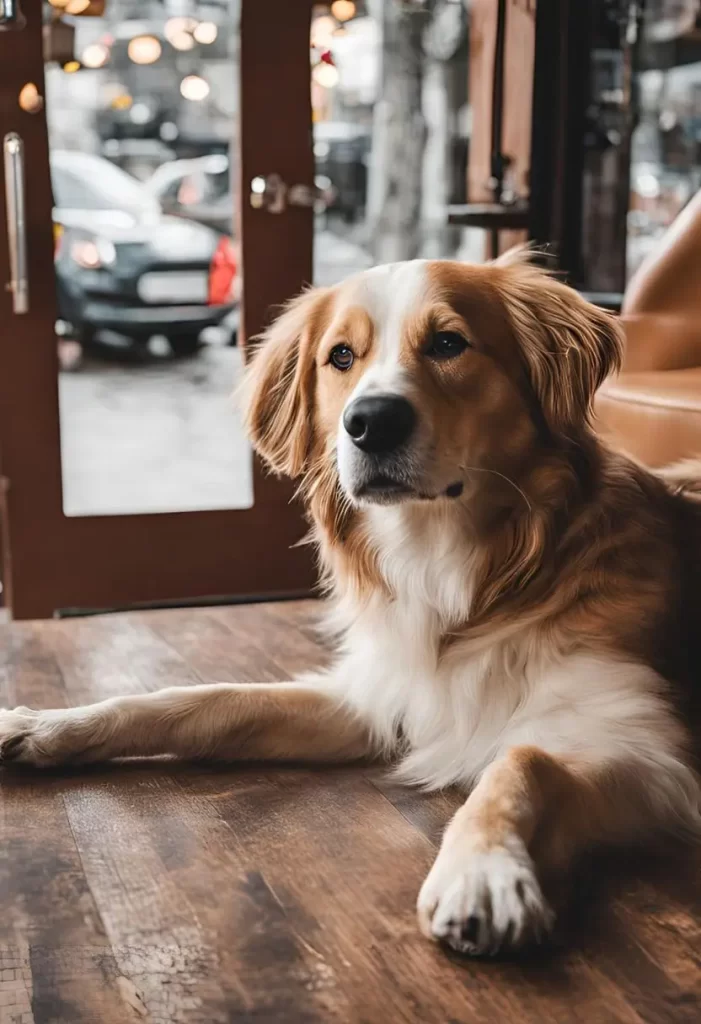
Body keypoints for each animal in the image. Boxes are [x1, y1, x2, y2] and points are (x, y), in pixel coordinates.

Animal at [1, 251, 699, 954]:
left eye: (449, 343)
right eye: (341, 356)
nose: (369, 422)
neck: (463, 575)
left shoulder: (642, 749)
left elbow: (522, 759)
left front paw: (483, 871)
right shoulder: (374, 698)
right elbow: (203, 701)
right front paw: (44, 725)